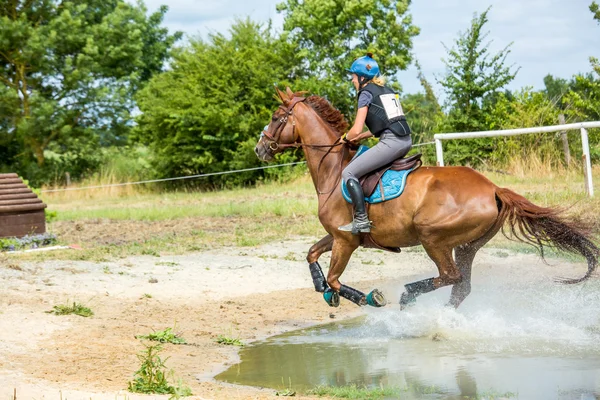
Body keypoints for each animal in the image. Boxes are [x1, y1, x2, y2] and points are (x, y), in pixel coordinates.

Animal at [254, 86, 600, 308]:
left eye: (275, 117)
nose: (260, 148)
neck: (334, 168)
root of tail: (493, 189)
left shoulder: (345, 240)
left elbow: (336, 277)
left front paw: (367, 297)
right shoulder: (337, 236)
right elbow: (312, 255)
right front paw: (325, 292)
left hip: (433, 237)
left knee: (450, 277)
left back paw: (409, 294)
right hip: (467, 245)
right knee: (461, 285)